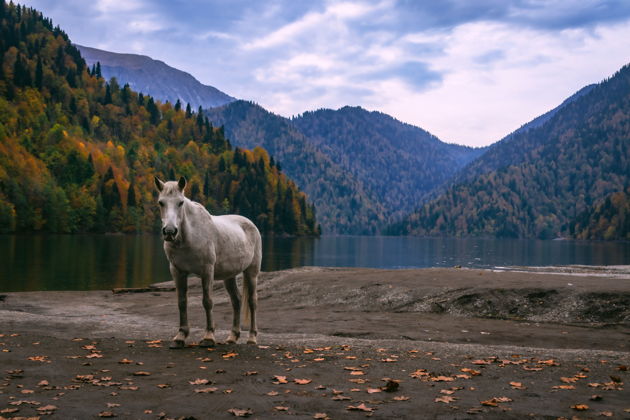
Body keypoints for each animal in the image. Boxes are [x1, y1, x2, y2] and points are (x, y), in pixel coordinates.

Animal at [154, 176, 262, 348]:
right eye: (161, 202)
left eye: (180, 202)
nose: (170, 232)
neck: (189, 237)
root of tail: (251, 224)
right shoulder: (177, 271)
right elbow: (181, 302)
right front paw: (180, 336)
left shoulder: (207, 270)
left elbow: (207, 301)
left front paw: (208, 337)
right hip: (229, 276)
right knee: (236, 301)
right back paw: (232, 337)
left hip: (251, 272)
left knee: (252, 302)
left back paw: (252, 338)